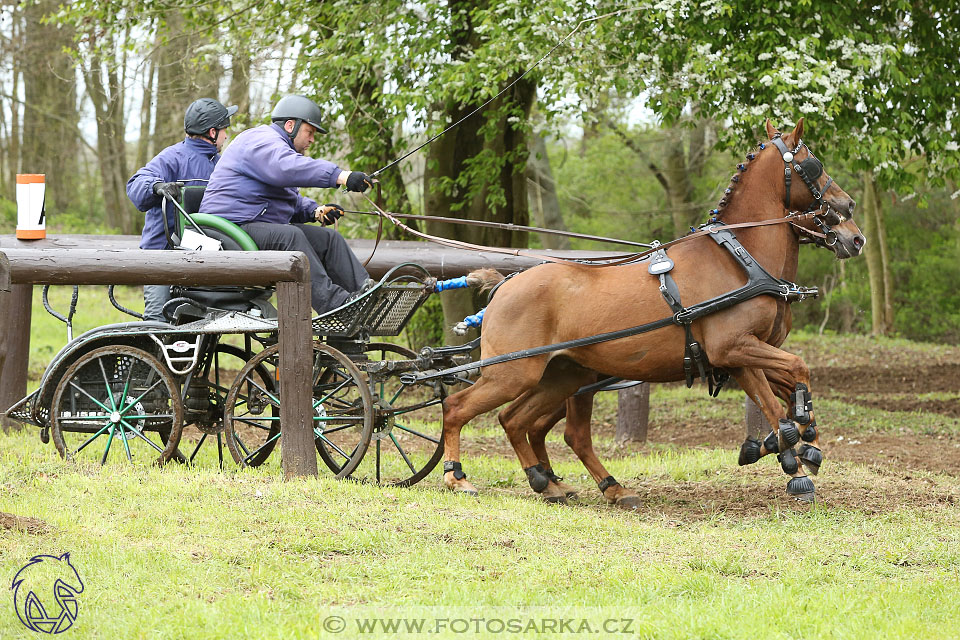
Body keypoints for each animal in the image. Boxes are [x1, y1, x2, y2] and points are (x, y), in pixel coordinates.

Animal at [438, 120, 868, 508]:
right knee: (460, 408)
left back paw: (561, 484)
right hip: (512, 373)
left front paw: (794, 445)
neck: (740, 259)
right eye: (813, 164)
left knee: (520, 422)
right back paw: (458, 478)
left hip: (562, 375)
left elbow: (786, 391)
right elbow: (787, 388)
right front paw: (797, 461)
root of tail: (505, 285)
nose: (852, 224)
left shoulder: (741, 355)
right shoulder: (734, 348)